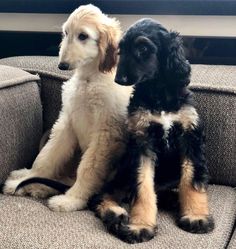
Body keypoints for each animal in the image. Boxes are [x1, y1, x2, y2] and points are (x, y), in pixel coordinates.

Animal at [2, 3, 133, 211]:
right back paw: (29, 181)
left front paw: (72, 199)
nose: (62, 65)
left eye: (83, 36)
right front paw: (28, 178)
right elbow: (47, 156)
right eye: (66, 33)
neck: (89, 80)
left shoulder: (105, 134)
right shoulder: (67, 123)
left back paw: (40, 188)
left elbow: (88, 168)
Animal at [88, 19, 214, 243]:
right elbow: (142, 186)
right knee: (101, 196)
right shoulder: (142, 142)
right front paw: (140, 226)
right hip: (122, 171)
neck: (159, 94)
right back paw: (116, 214)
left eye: (143, 49)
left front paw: (195, 217)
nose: (120, 79)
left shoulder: (190, 137)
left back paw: (173, 199)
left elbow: (191, 179)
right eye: (121, 50)